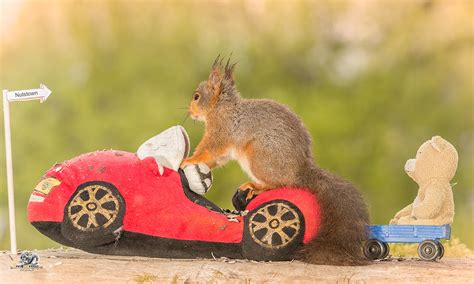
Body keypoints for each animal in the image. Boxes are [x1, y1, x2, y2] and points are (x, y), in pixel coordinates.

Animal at [180, 56, 368, 266]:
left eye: (196, 96)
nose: (190, 112)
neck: (221, 107)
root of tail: (299, 172)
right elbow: (217, 159)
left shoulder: (221, 132)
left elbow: (209, 150)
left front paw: (187, 160)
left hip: (259, 156)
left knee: (279, 183)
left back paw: (256, 186)